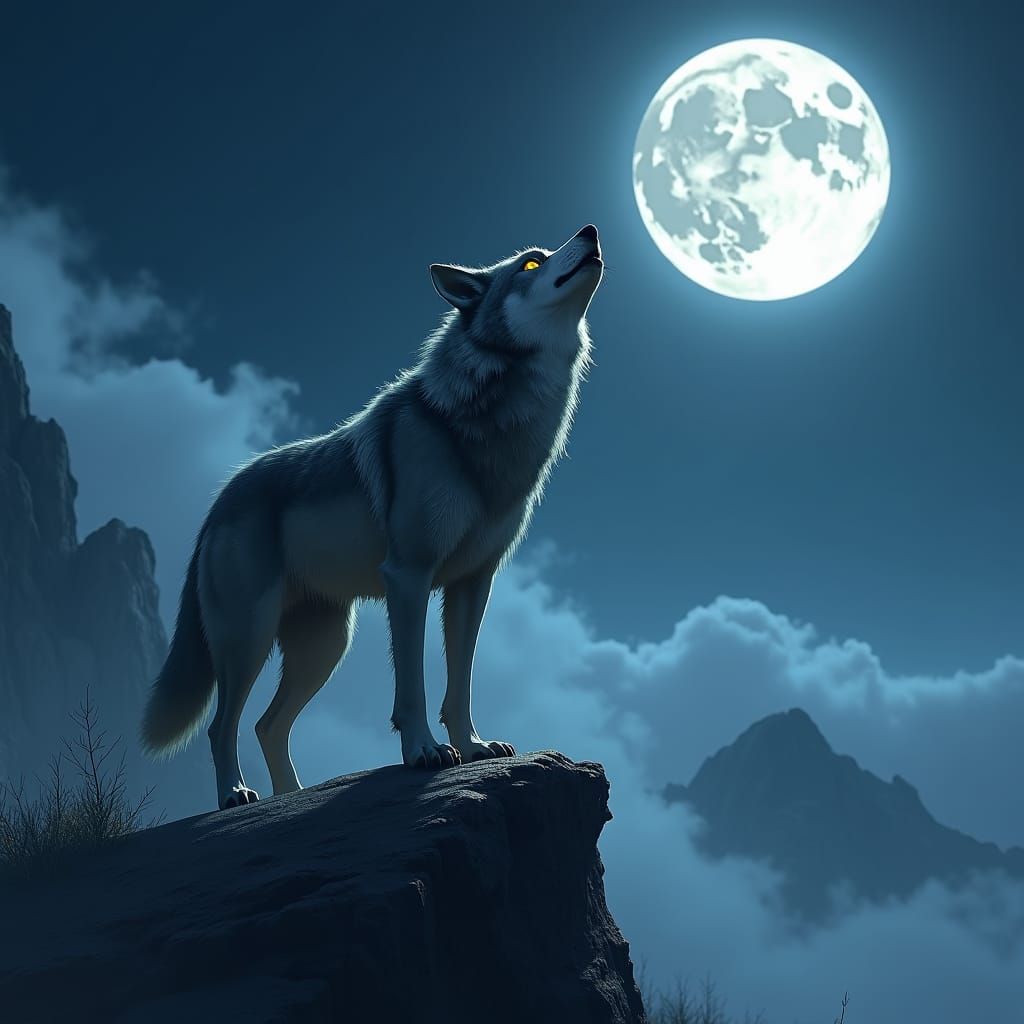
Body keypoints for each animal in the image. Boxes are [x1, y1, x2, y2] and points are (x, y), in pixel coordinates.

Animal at [140, 225, 603, 810]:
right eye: (531, 264)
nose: (590, 231)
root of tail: (219, 500)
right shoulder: (409, 576)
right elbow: (414, 686)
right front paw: (424, 752)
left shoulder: (473, 584)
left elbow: (460, 682)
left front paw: (473, 746)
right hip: (249, 640)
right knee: (222, 725)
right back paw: (236, 796)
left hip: (323, 648)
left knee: (268, 725)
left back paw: (293, 795)